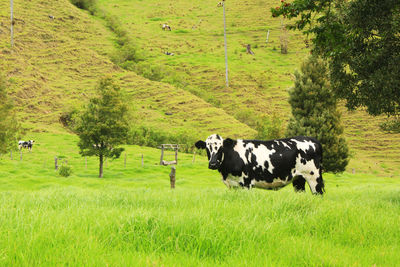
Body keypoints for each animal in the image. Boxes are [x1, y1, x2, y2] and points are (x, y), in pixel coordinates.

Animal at [195, 136, 324, 195]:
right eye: (207, 148)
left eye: (221, 148)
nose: (213, 164)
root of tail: (314, 140)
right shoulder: (234, 185)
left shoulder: (246, 183)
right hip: (299, 179)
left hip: (314, 177)